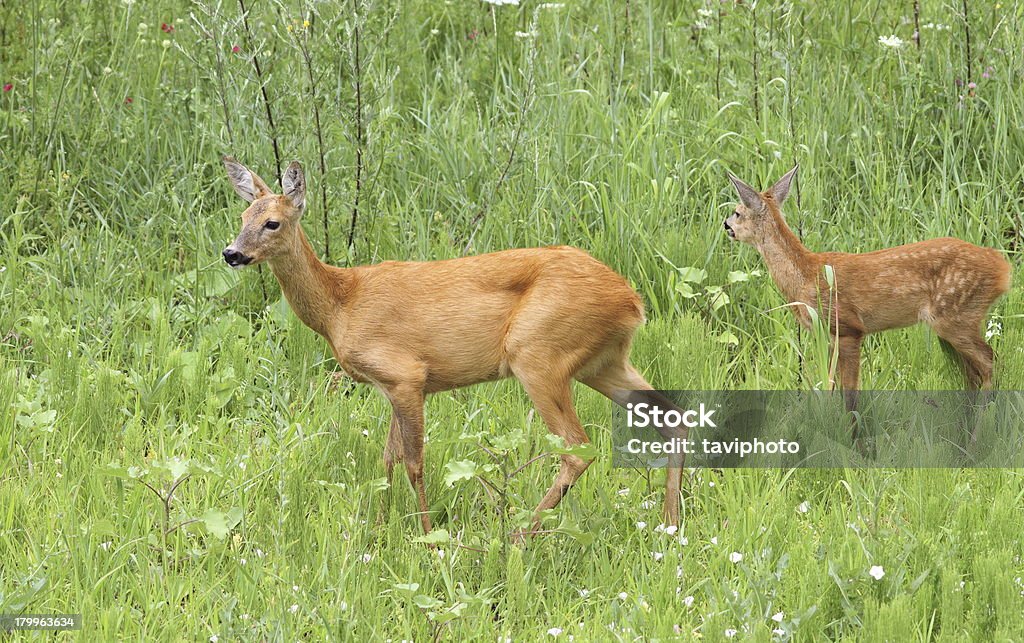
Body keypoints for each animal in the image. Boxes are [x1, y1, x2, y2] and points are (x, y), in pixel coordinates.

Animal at [223, 158, 684, 536]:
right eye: (243, 215)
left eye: (273, 223)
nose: (231, 253)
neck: (341, 305)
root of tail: (632, 301)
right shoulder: (392, 386)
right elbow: (387, 459)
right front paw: (380, 528)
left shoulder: (407, 375)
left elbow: (414, 463)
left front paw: (427, 538)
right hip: (602, 362)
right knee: (672, 417)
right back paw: (669, 525)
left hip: (538, 354)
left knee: (577, 447)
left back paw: (518, 535)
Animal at [724, 165, 1011, 442]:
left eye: (737, 212)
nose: (726, 225)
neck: (806, 274)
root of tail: (1002, 268)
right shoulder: (829, 336)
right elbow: (832, 386)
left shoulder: (848, 327)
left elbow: (850, 397)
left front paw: (854, 443)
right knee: (972, 373)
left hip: (955, 315)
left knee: (989, 362)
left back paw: (976, 438)